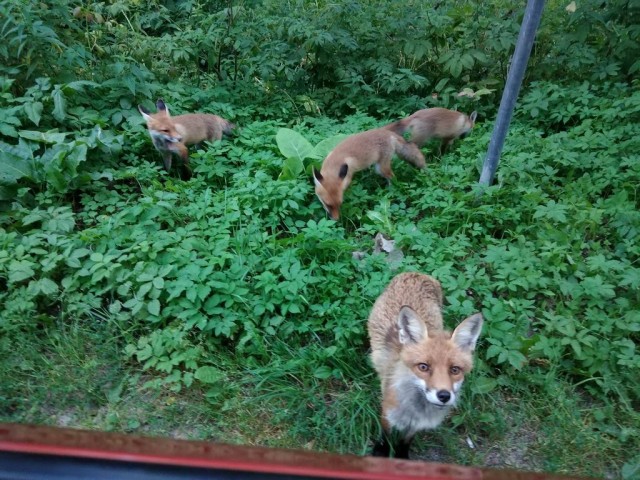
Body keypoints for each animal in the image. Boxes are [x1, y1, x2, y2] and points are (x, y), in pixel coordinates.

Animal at [367, 272, 483, 459]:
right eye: (423, 367)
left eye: (455, 370)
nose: (444, 396)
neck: (415, 410)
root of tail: (415, 273)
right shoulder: (387, 414)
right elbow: (385, 438)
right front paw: (380, 453)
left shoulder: (416, 425)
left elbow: (405, 442)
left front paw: (402, 457)